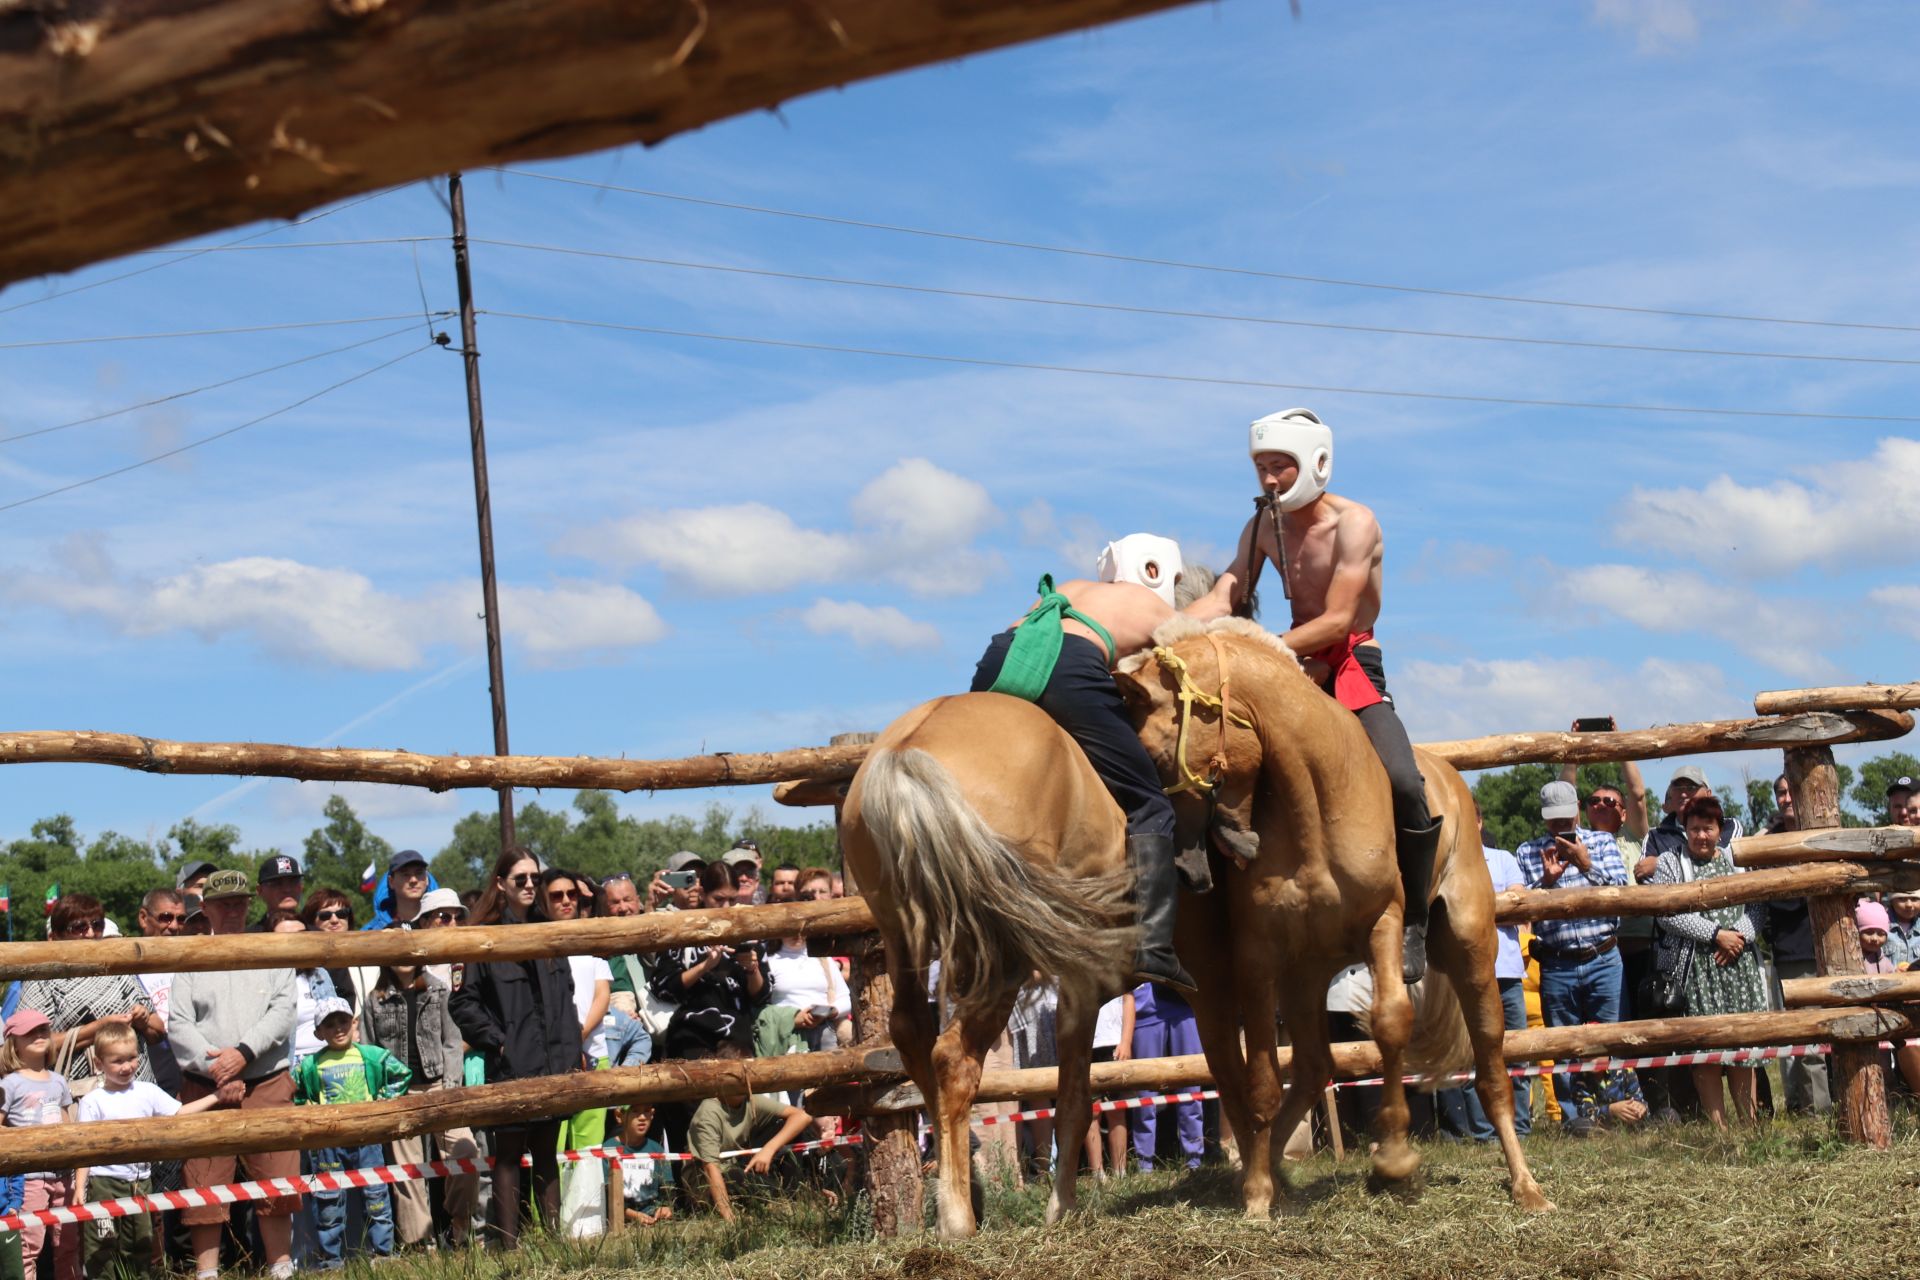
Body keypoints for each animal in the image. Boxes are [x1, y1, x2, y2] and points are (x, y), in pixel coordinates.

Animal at [840, 694, 1136, 1235]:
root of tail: (905, 756)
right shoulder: (1084, 985)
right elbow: (1075, 1100)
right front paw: (1061, 1207)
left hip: (904, 937)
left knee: (915, 1041)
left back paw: (959, 1194)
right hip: (1001, 954)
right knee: (955, 1058)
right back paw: (958, 1218)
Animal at [1121, 614, 1551, 1220]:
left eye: (1158, 758)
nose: (1193, 865)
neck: (1313, 804)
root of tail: (1451, 777)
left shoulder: (1383, 923)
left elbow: (1391, 1022)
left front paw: (1394, 1158)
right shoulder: (1261, 957)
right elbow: (1261, 1079)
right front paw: (1258, 1192)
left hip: (1469, 949)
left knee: (1491, 1067)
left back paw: (1526, 1185)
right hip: (1306, 975)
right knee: (1309, 1070)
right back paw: (1268, 1168)